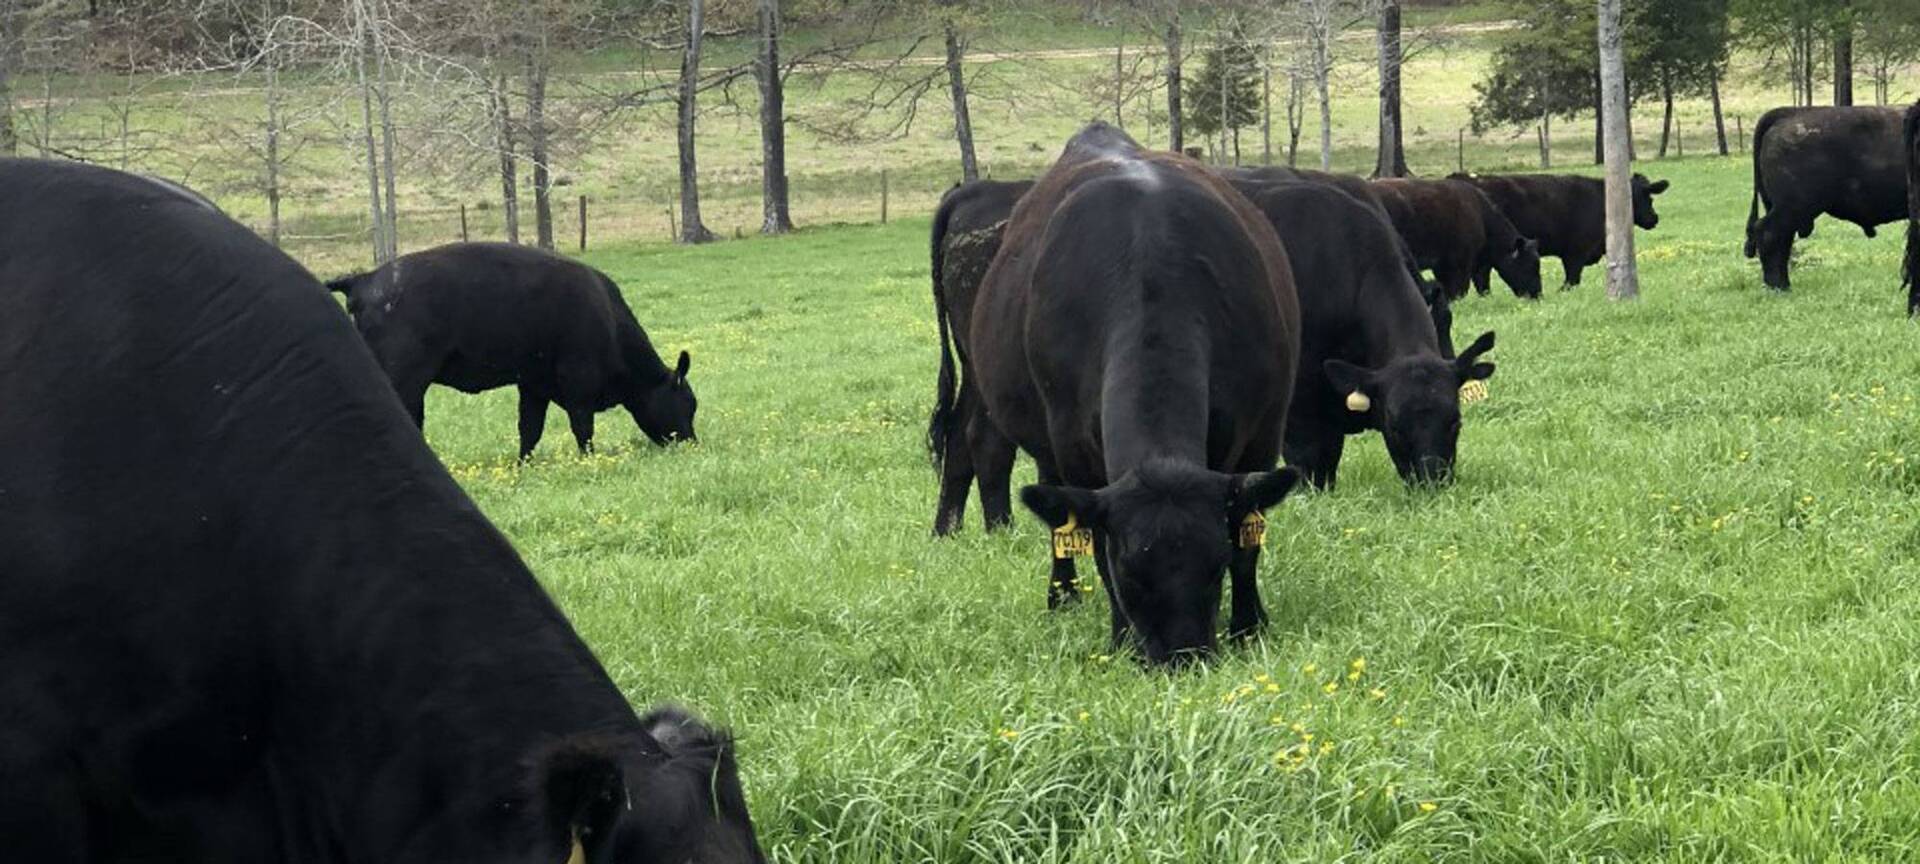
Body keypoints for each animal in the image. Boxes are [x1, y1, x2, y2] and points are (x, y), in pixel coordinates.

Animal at [328, 242, 696, 459]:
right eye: (688, 404)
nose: (691, 442)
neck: (608, 319)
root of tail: (365, 279)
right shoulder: (579, 384)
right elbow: (583, 428)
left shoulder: (534, 386)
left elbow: (529, 429)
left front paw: (524, 465)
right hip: (405, 381)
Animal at [964, 122, 1303, 665]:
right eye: (1130, 570)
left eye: (1215, 563)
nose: (1182, 656)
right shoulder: (1074, 444)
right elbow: (1091, 541)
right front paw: (1120, 639)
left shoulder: (1263, 432)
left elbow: (1248, 543)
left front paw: (1250, 626)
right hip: (1044, 442)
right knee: (1057, 521)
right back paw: (1061, 594)